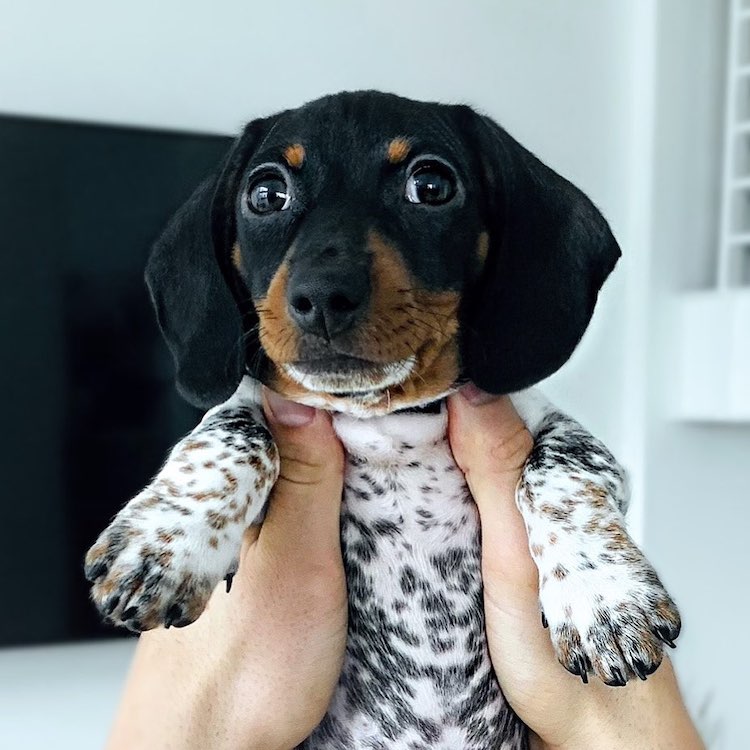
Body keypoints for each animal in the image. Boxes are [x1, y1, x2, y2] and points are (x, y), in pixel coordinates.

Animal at [83, 91, 680, 748]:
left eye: (431, 184)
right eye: (266, 194)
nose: (322, 298)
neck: (385, 422)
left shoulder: (555, 430)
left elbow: (561, 468)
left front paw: (604, 595)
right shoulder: (259, 414)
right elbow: (233, 428)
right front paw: (164, 542)